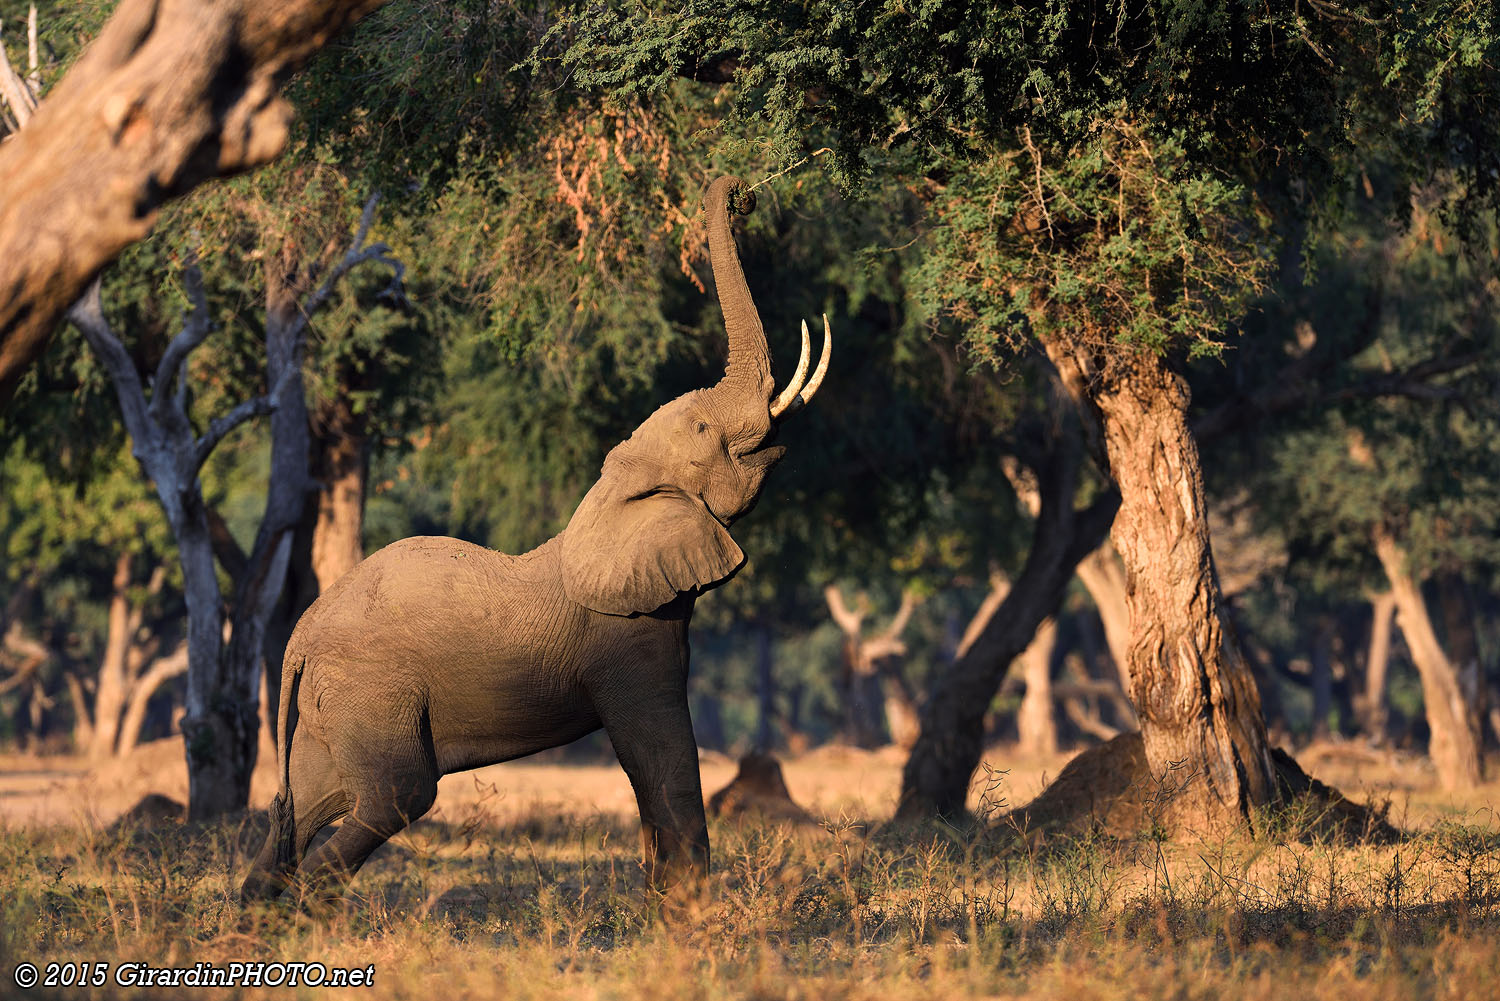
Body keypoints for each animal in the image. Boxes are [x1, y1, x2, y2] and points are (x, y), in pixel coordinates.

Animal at [240, 175, 830, 905]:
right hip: (371, 692)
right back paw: (305, 912)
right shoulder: (625, 639)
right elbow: (659, 746)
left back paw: (257, 913)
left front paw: (663, 904)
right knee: (395, 797)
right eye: (702, 432)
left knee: (301, 810)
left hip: (328, 706)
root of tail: (299, 640)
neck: (608, 499)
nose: (738, 191)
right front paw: (687, 907)